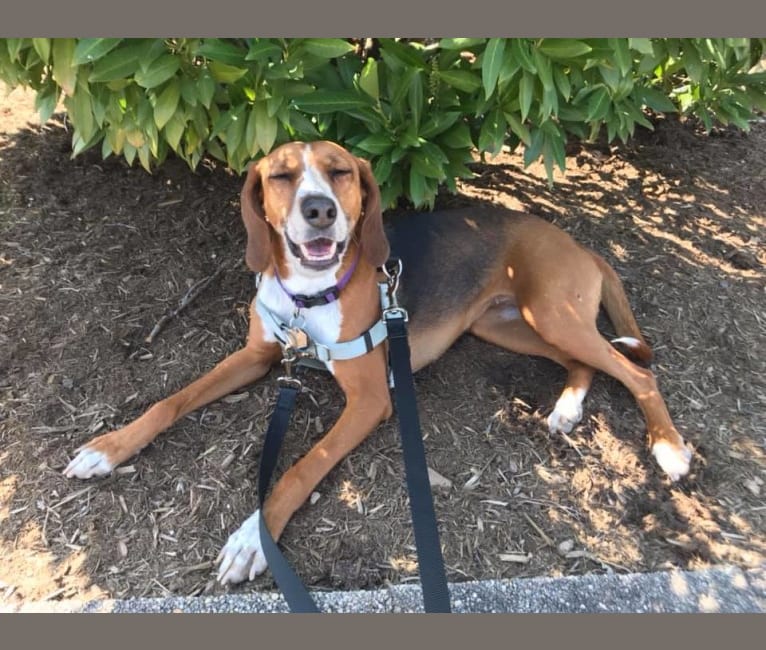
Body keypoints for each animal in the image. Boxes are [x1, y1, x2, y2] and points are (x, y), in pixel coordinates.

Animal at [63, 140, 692, 584]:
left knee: (636, 371)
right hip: (511, 325)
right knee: (587, 363)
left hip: (553, 314)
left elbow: (300, 467)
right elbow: (171, 402)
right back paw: (566, 409)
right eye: (281, 175)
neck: (309, 299)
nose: (319, 209)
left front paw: (251, 539)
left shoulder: (369, 400)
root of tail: (581, 246)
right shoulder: (257, 355)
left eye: (340, 171)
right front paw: (108, 448)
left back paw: (667, 446)